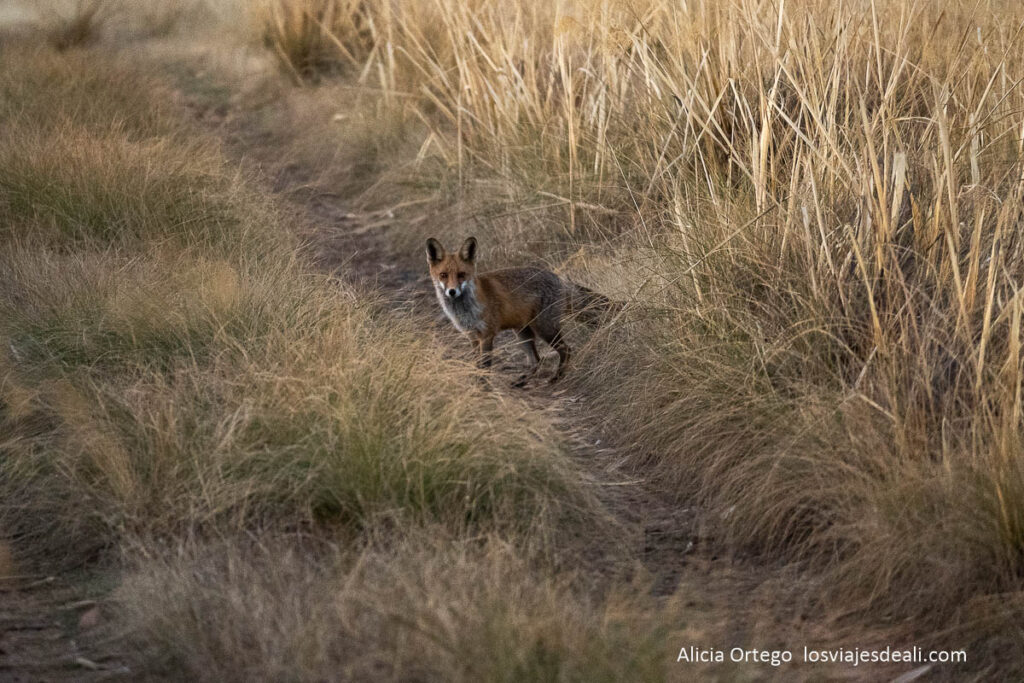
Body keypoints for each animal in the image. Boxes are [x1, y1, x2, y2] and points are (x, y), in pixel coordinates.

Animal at [425, 236, 614, 386]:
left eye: (461, 274)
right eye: (443, 275)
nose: (452, 292)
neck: (465, 309)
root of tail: (558, 278)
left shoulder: (487, 335)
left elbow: (485, 366)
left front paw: (483, 388)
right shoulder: (472, 336)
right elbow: (476, 364)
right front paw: (476, 383)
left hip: (545, 329)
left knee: (565, 351)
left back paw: (556, 378)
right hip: (523, 334)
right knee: (537, 361)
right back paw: (522, 381)